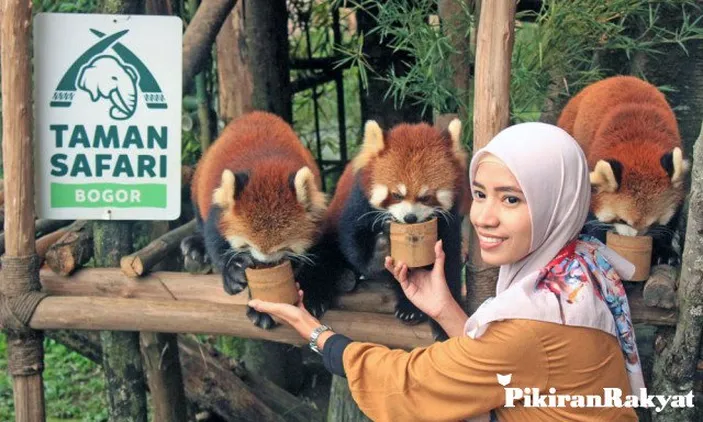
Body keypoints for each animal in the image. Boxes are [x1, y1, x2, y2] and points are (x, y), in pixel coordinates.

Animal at [179, 110, 328, 328]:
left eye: (284, 247)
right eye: (247, 245)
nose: (263, 263)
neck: (266, 167)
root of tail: (255, 113)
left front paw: (311, 291)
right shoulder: (219, 206)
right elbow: (215, 240)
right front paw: (234, 273)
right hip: (199, 180)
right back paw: (195, 246)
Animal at [328, 118, 470, 336]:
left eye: (425, 197)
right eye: (396, 195)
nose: (410, 218)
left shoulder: (449, 222)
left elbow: (449, 262)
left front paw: (445, 319)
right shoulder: (359, 203)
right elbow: (354, 240)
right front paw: (379, 253)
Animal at [560, 75, 692, 266]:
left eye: (653, 223)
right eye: (622, 220)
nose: (634, 239)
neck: (639, 150)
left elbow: (671, 220)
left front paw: (663, 251)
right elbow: (594, 221)